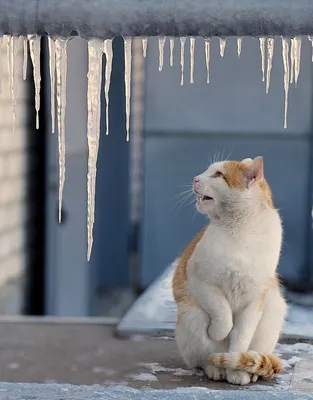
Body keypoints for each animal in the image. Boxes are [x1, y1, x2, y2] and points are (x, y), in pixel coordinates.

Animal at [172, 155, 286, 384]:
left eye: (218, 175)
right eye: (208, 171)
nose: (195, 178)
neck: (241, 230)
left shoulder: (254, 302)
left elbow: (240, 338)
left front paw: (236, 371)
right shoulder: (199, 281)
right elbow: (223, 314)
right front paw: (218, 334)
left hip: (272, 314)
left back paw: (246, 371)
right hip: (191, 315)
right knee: (204, 356)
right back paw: (215, 368)